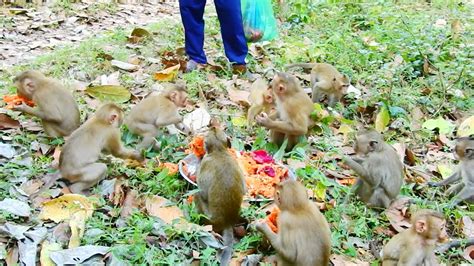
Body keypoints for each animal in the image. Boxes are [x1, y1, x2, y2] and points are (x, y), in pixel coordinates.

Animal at [193, 119, 244, 264]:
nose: (212, 126)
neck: (219, 151)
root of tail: (227, 222)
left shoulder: (206, 163)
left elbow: (203, 191)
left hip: (208, 217)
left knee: (197, 195)